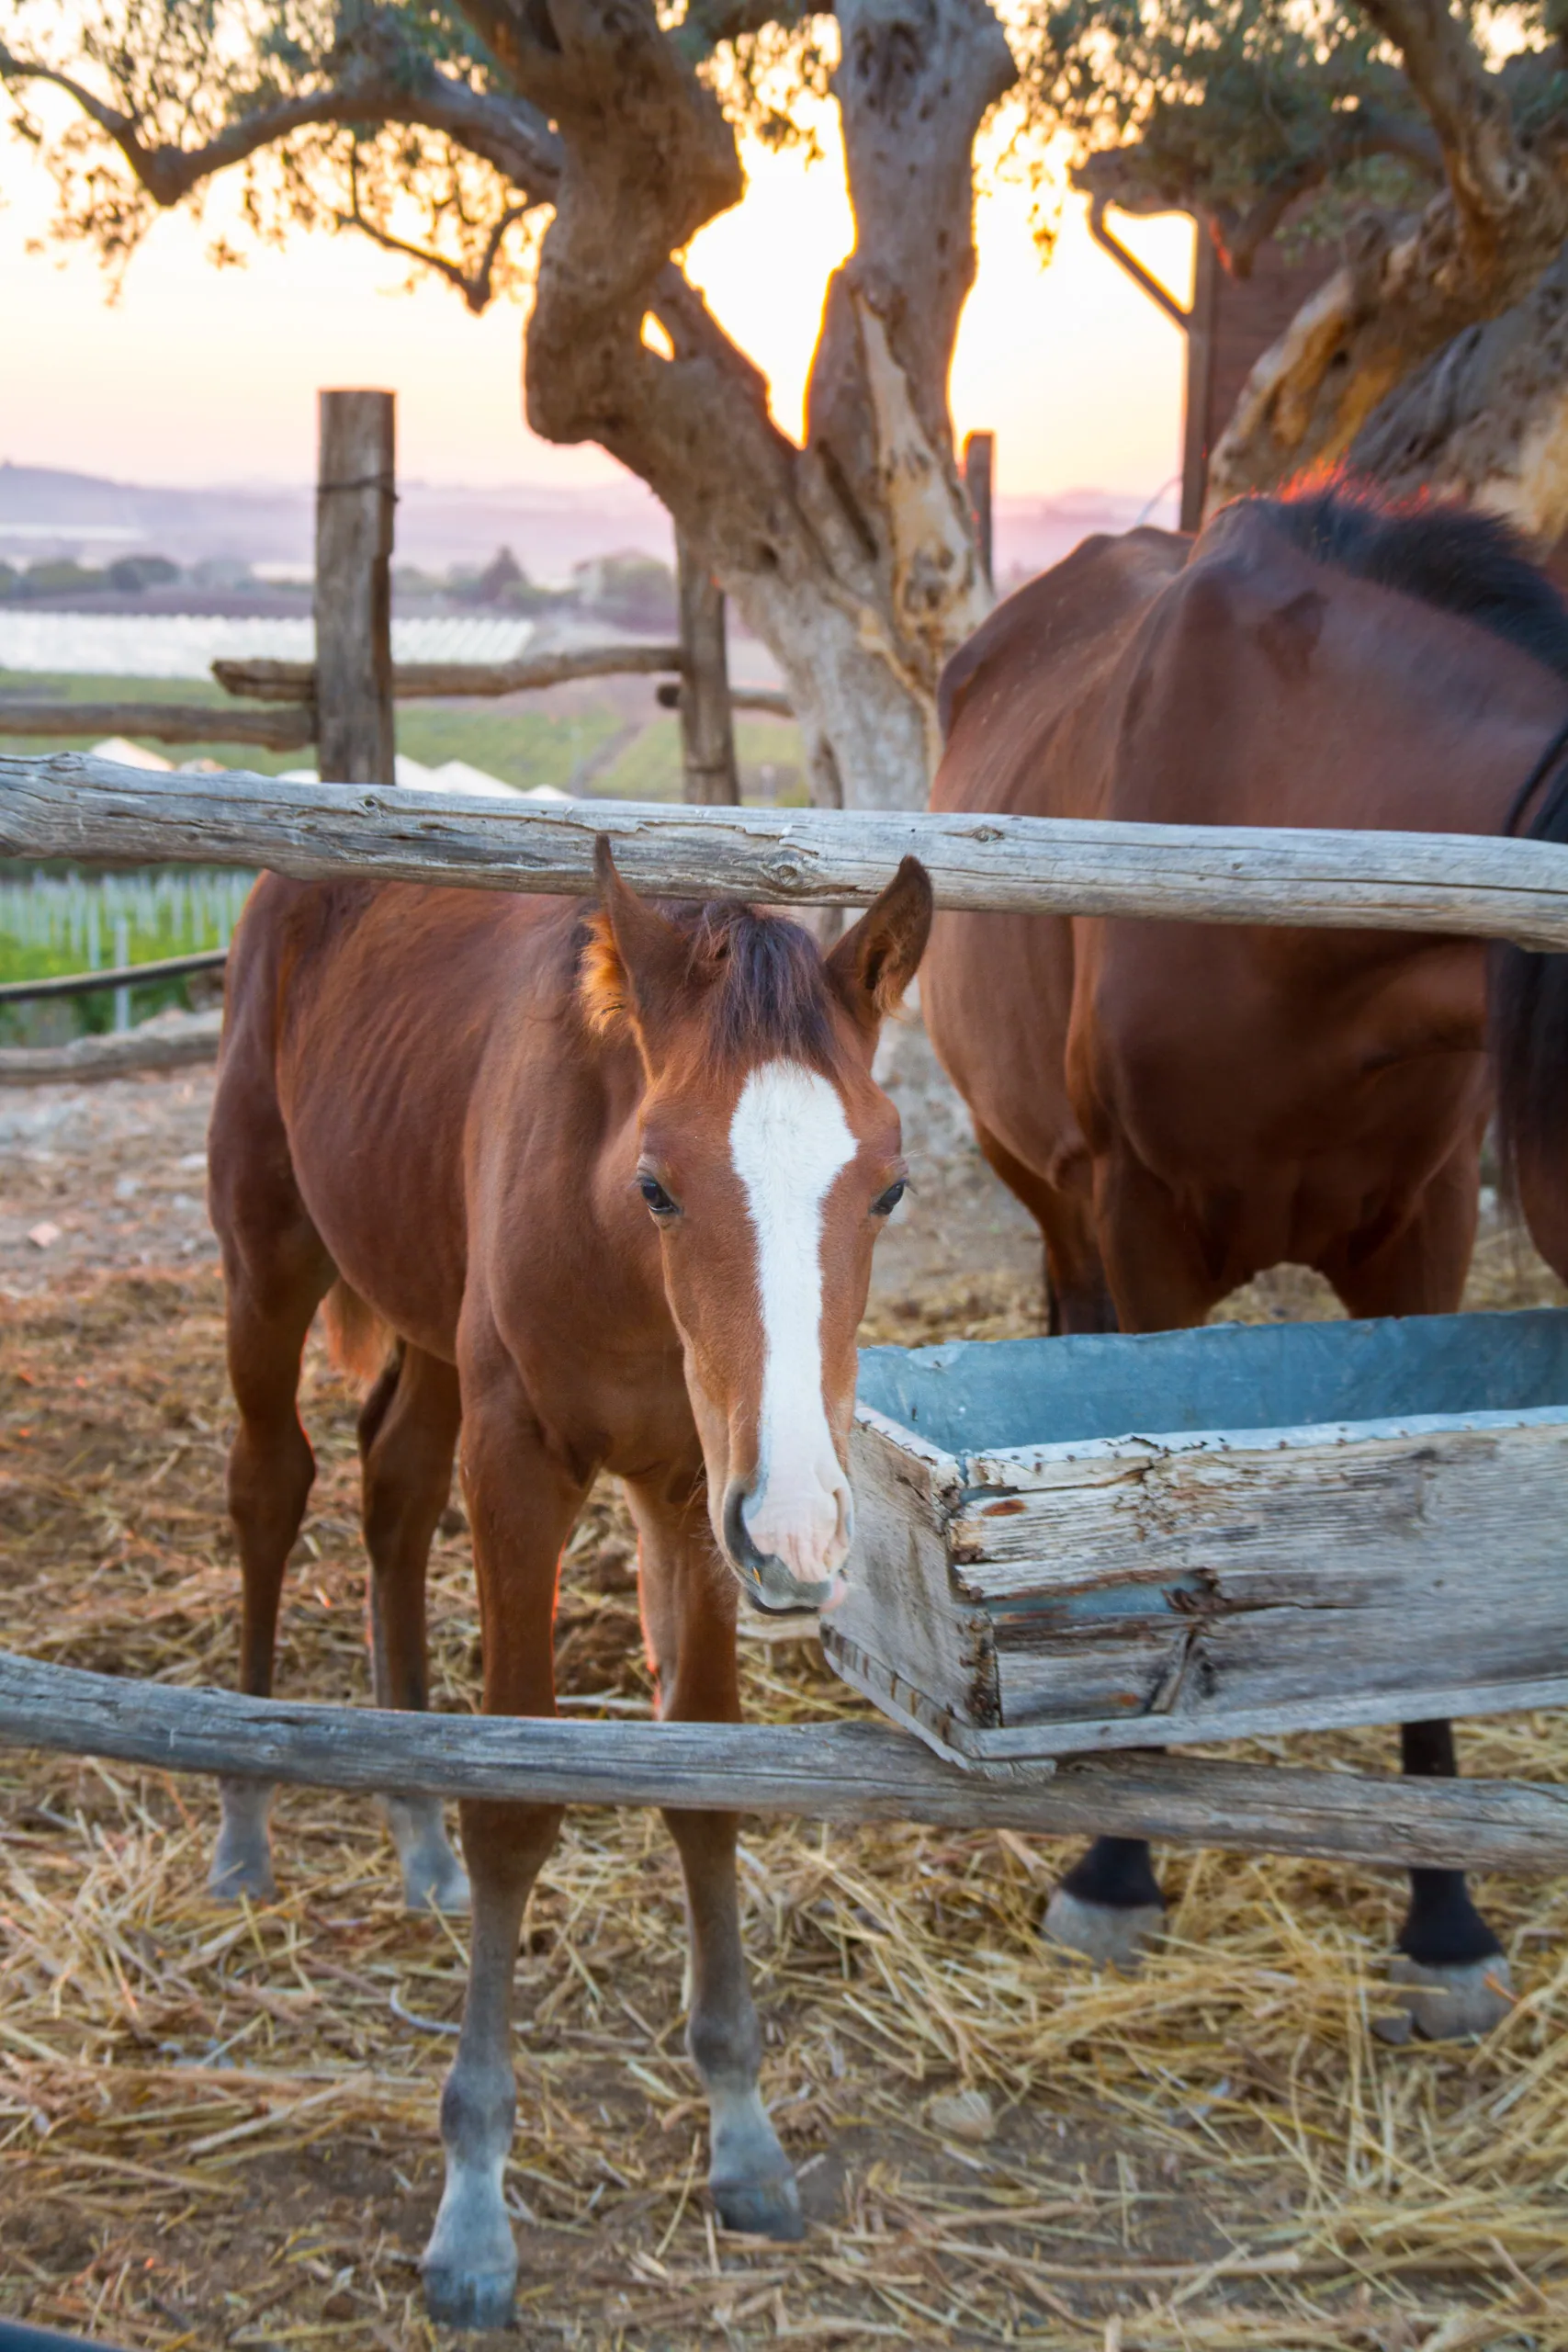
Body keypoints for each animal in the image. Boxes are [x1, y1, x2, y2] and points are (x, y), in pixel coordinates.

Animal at [205, 838, 931, 2325]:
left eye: (885, 1186)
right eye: (658, 1182)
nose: (804, 1535)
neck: (621, 1267)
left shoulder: (694, 1491)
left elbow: (703, 1782)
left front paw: (744, 2137)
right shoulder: (524, 1469)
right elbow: (518, 1806)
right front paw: (473, 2205)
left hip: (430, 1319)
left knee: (389, 1487)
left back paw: (411, 1830)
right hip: (269, 1261)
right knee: (272, 1486)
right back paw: (247, 1818)